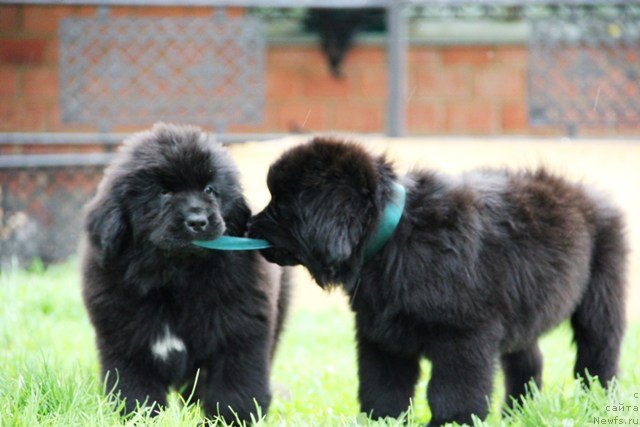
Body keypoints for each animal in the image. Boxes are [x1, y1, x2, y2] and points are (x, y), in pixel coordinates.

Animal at [80, 122, 290, 422]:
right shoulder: (125, 340)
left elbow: (236, 386)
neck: (175, 276)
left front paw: (233, 418)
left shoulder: (239, 333)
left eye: (210, 190)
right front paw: (139, 417)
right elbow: (134, 389)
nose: (198, 221)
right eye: (163, 192)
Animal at [249, 139, 624, 426]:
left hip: (603, 294)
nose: (248, 226)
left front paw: (449, 422)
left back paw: (596, 403)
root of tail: (586, 191)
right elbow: (383, 388)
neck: (395, 238)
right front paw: (382, 420)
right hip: (521, 314)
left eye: (281, 203)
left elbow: (452, 393)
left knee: (599, 354)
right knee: (528, 360)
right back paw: (515, 413)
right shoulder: (381, 337)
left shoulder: (464, 336)